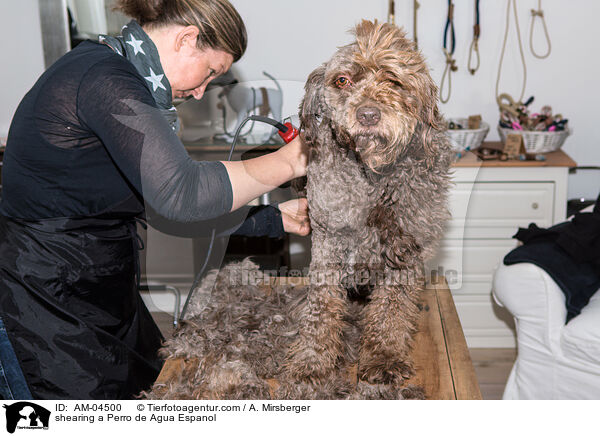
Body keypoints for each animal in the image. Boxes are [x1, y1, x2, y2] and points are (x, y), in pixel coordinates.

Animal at [284, 19, 452, 388]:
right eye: (342, 81)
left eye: (394, 81)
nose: (368, 115)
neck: (372, 178)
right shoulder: (327, 240)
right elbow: (322, 306)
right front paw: (313, 360)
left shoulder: (405, 251)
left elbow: (391, 309)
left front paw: (384, 358)